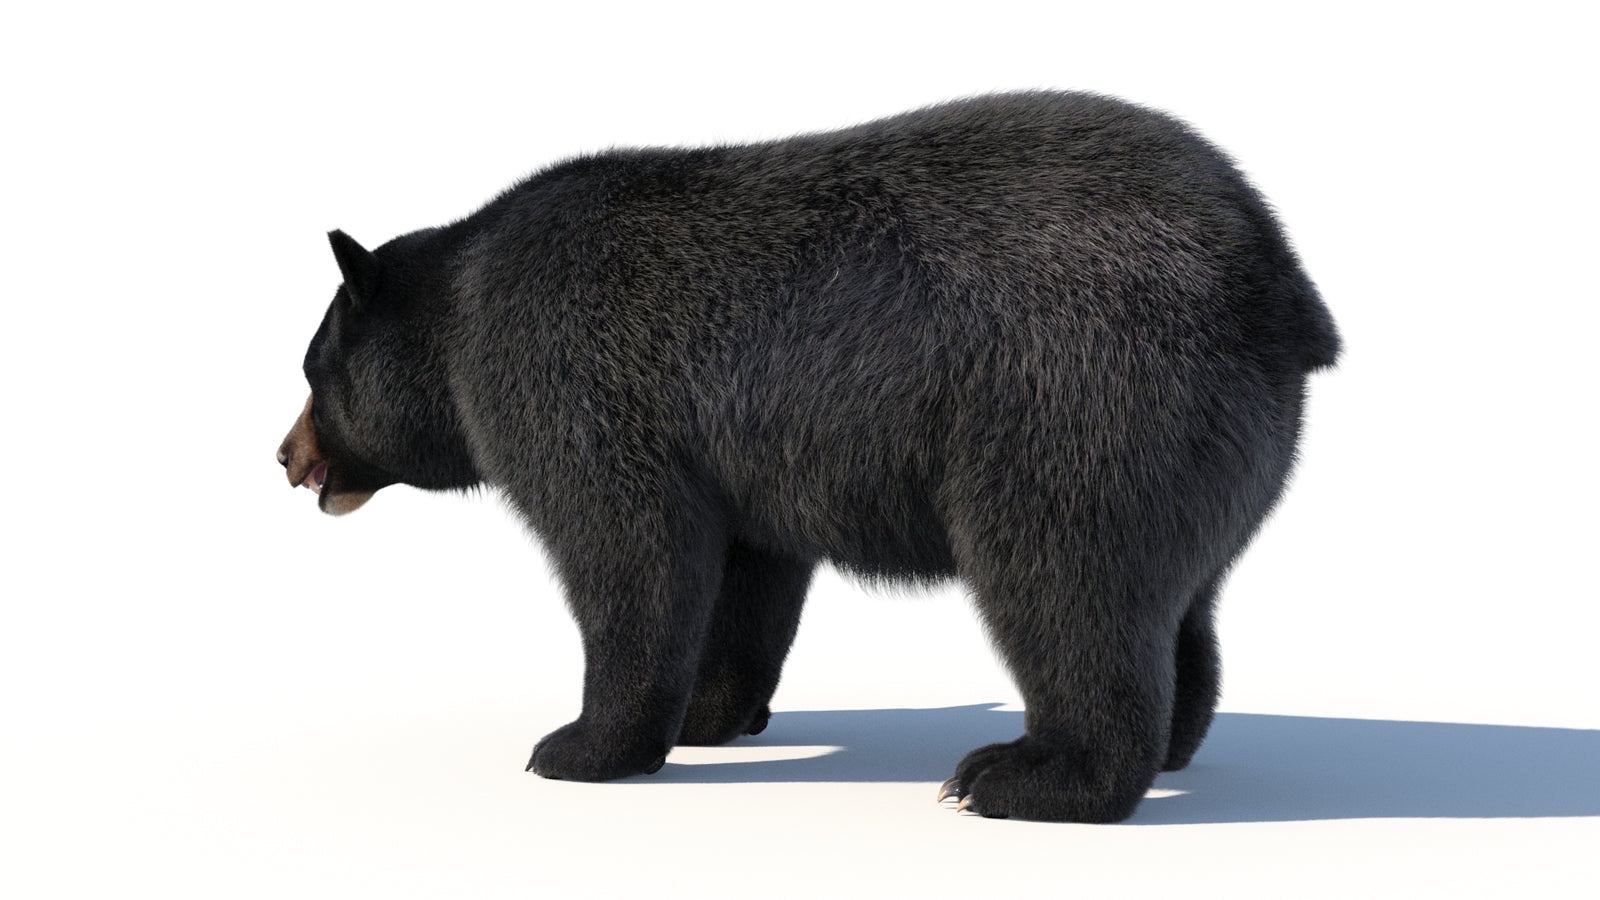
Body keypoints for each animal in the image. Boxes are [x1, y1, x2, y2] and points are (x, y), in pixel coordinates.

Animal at [277, 91, 1339, 823]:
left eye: (312, 368)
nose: (285, 457)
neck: (462, 315)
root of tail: (1280, 284)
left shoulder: (570, 377)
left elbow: (629, 551)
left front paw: (579, 745)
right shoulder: (735, 460)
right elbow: (745, 577)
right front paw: (707, 714)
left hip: (1079, 401)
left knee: (1065, 577)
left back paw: (1026, 775)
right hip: (1208, 440)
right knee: (1180, 597)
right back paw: (1174, 746)